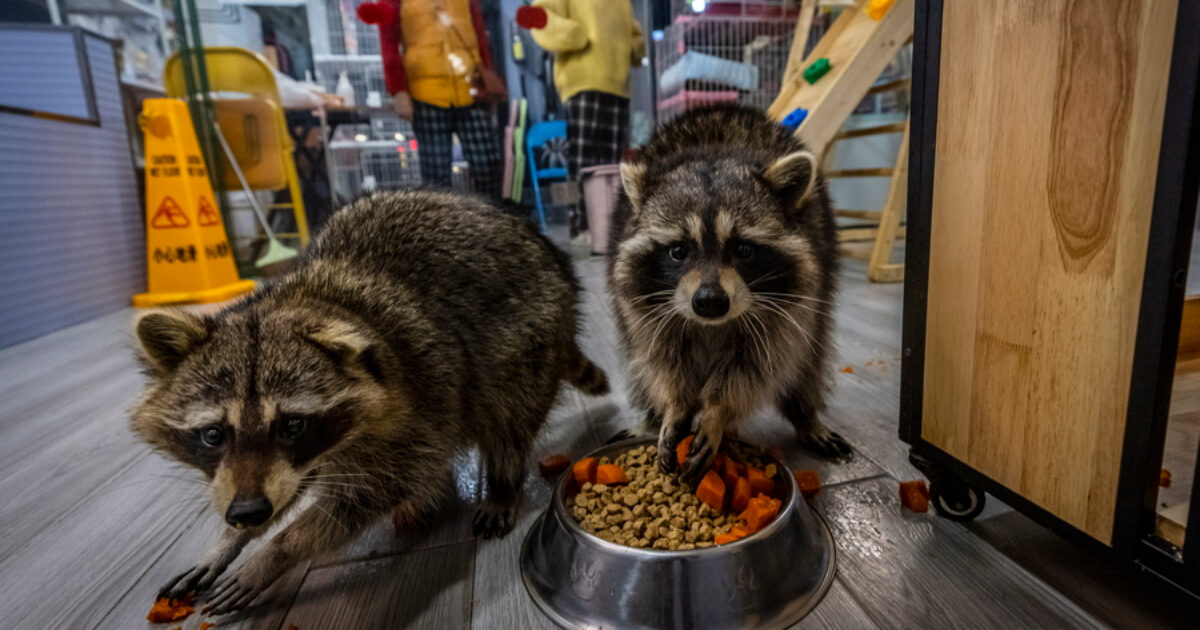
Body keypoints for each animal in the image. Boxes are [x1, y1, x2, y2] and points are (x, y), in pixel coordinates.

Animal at [132, 190, 608, 615]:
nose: (247, 513)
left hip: (530, 332)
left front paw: (276, 551)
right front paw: (230, 540)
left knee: (507, 411)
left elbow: (372, 491)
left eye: (292, 425)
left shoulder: (417, 406)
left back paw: (503, 483)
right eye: (213, 434)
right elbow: (277, 485)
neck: (303, 301)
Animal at [607, 103, 849, 481]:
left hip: (821, 287)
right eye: (678, 251)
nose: (709, 302)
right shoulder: (644, 307)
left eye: (743, 250)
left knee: (810, 358)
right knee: (640, 366)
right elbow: (661, 358)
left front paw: (717, 411)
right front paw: (675, 405)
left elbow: (760, 364)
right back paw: (650, 416)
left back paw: (806, 416)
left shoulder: (788, 308)